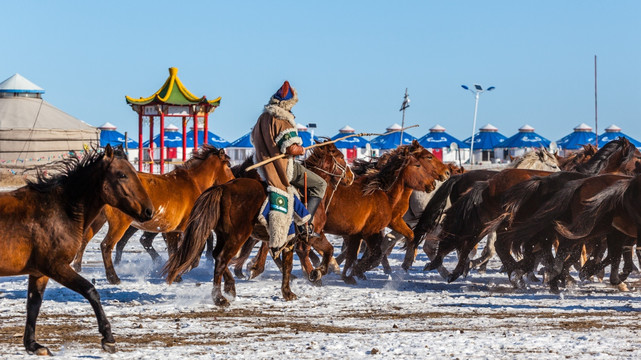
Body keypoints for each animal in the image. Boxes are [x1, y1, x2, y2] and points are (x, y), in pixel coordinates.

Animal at [0, 146, 152, 354]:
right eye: (122, 175)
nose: (149, 211)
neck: (61, 210)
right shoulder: (56, 267)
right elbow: (90, 290)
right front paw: (108, 338)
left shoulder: (40, 273)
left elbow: (34, 304)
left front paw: (33, 345)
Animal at [73, 143, 232, 284]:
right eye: (228, 166)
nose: (233, 181)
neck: (193, 183)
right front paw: (181, 271)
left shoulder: (172, 231)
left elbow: (173, 252)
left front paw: (174, 274)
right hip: (119, 224)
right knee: (106, 246)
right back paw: (113, 278)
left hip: (98, 220)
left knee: (85, 239)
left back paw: (77, 267)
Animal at [162, 142, 352, 306]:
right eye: (341, 157)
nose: (351, 176)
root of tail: (223, 188)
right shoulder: (312, 234)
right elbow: (327, 250)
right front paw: (316, 272)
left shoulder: (289, 239)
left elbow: (289, 263)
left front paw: (288, 291)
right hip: (237, 236)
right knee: (222, 259)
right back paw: (219, 298)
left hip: (225, 235)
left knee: (217, 256)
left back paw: (230, 287)